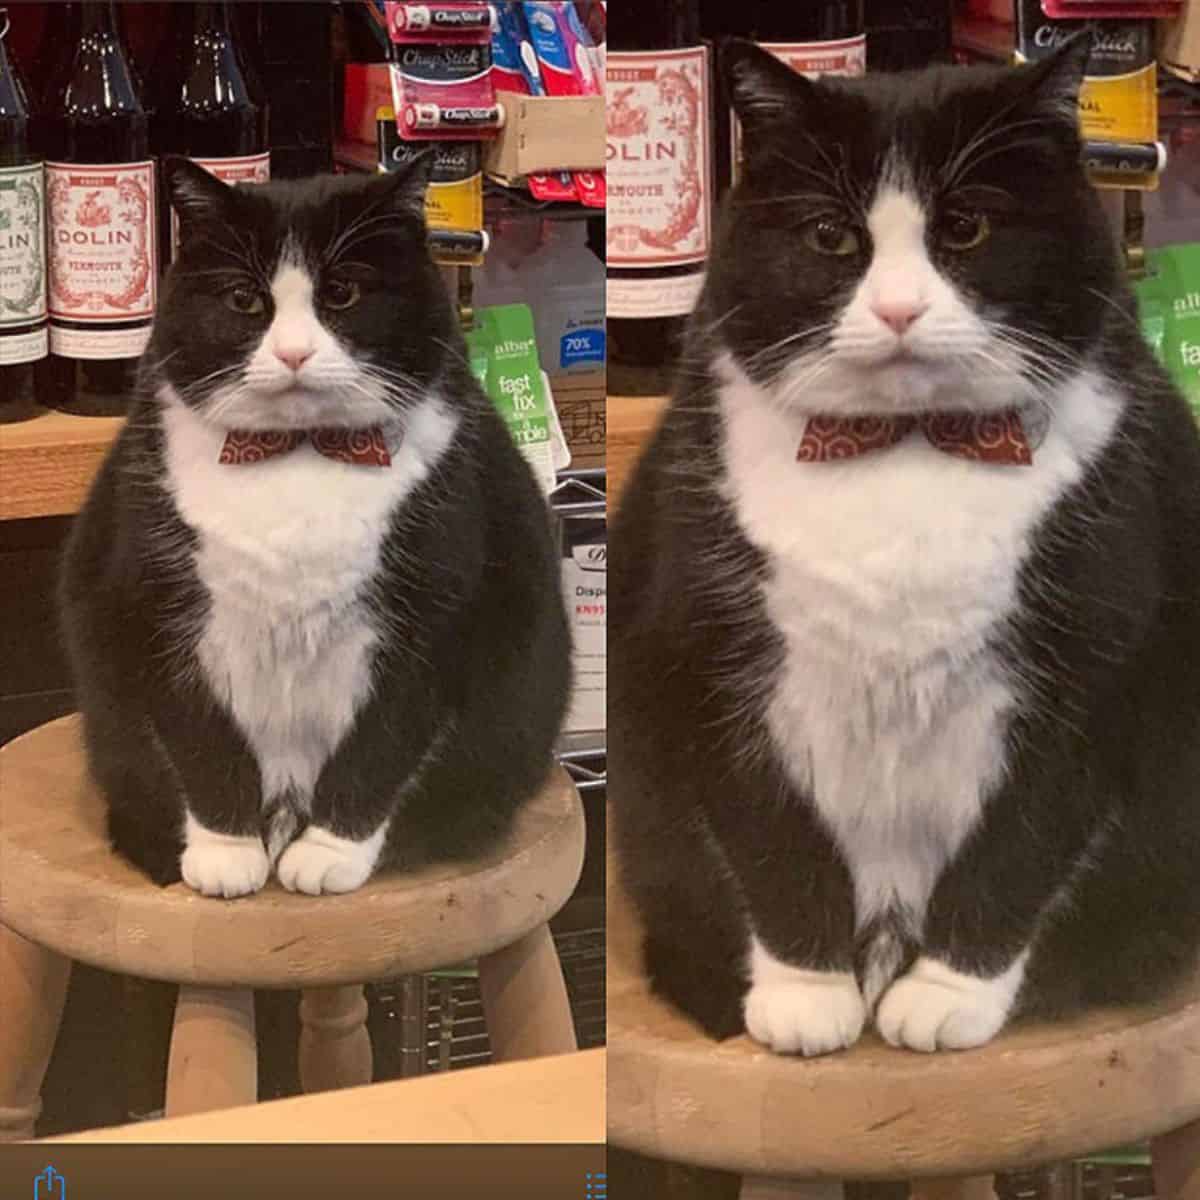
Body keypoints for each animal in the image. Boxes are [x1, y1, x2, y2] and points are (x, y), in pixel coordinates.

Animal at [60, 152, 571, 902]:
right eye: (245, 300)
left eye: (343, 293)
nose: (295, 353)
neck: (298, 454)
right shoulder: (162, 609)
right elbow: (198, 736)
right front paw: (225, 851)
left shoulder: (429, 619)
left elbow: (382, 743)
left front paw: (330, 851)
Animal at [609, 37, 1200, 1056]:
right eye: (830, 237)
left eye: (965, 228)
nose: (896, 311)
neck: (906, 447)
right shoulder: (713, 658)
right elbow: (768, 832)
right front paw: (805, 992)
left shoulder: (1089, 674)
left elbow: (1023, 839)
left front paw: (948, 991)